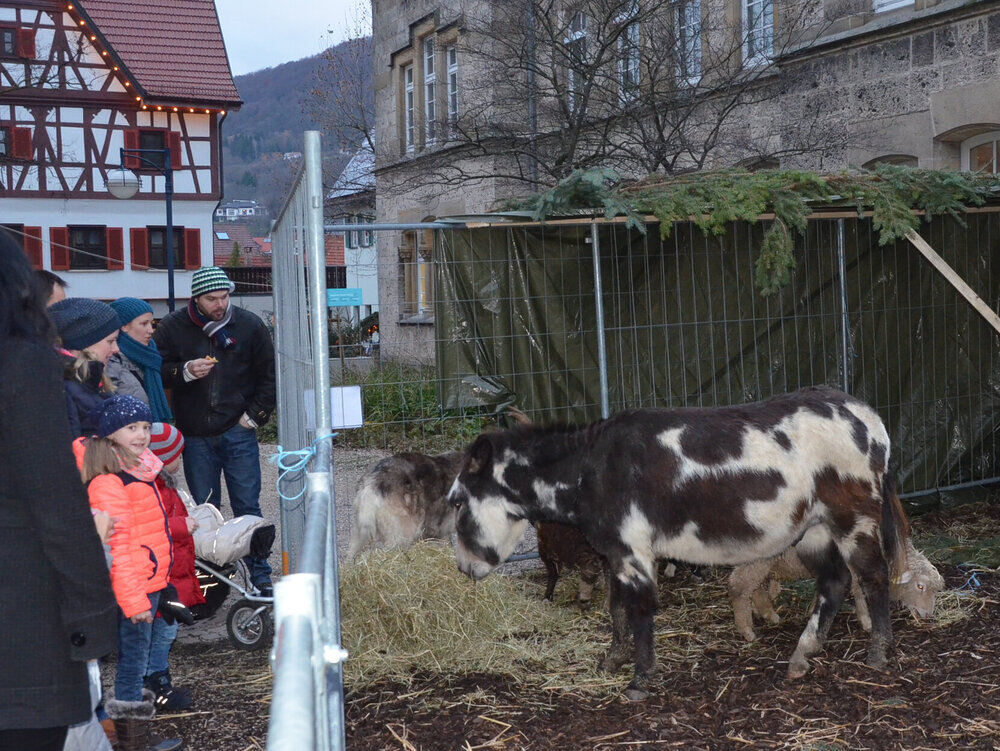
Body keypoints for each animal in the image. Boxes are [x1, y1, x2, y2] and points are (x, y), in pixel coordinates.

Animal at [450, 390, 912, 704]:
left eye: (456, 501)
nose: (463, 569)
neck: (591, 468)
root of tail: (866, 414)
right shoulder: (615, 553)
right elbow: (616, 607)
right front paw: (612, 661)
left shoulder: (632, 550)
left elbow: (639, 610)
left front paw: (639, 680)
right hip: (816, 530)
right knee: (835, 582)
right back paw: (802, 656)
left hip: (854, 519)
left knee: (873, 576)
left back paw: (878, 653)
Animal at [728, 536, 944, 644]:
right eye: (920, 586)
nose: (928, 615)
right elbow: (859, 594)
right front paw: (866, 621)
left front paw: (814, 609)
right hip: (757, 560)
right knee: (739, 587)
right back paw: (747, 629)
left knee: (753, 588)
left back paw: (767, 613)